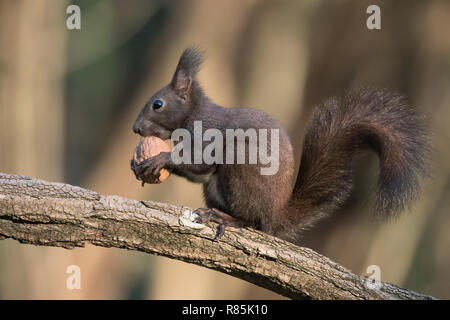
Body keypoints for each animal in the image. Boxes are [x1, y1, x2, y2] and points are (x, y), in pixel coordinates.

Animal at [129, 47, 428, 241]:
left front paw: (159, 159)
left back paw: (224, 219)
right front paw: (137, 164)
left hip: (241, 168)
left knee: (253, 222)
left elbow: (200, 164)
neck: (192, 114)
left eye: (158, 104)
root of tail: (276, 215)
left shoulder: (208, 134)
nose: (136, 128)